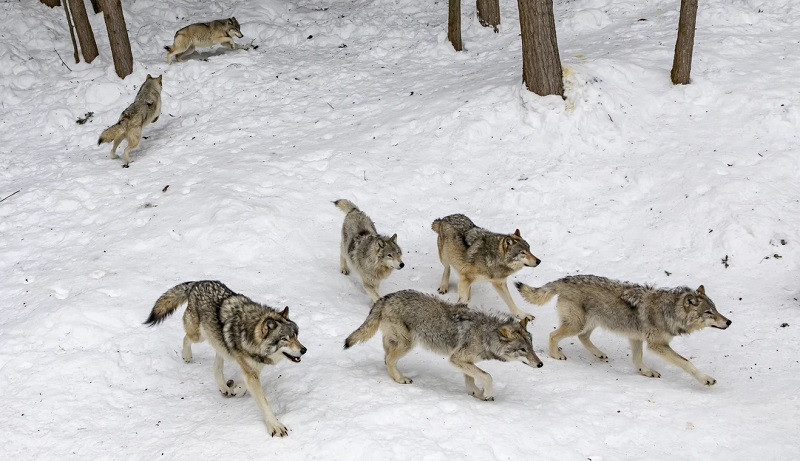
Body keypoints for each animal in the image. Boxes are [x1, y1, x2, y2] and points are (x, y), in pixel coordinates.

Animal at [144, 281, 306, 437]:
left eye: (296, 336)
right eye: (285, 339)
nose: (304, 350)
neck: (250, 335)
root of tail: (197, 283)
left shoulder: (252, 368)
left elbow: (245, 384)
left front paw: (237, 389)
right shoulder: (250, 371)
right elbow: (264, 402)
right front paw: (275, 426)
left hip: (219, 343)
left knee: (217, 365)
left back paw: (224, 387)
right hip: (199, 336)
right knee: (186, 338)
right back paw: (187, 356)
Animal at [344, 290, 542, 400]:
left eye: (532, 347)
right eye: (522, 350)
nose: (540, 364)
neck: (486, 335)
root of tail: (386, 297)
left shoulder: (464, 361)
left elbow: (472, 379)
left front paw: (476, 394)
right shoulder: (456, 359)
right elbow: (487, 376)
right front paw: (486, 393)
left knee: (386, 358)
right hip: (408, 344)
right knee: (389, 360)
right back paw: (400, 379)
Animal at [515, 275, 731, 386]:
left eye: (716, 309)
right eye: (709, 312)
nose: (729, 322)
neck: (669, 311)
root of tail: (564, 279)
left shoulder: (636, 338)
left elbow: (637, 360)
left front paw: (646, 372)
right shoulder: (657, 345)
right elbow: (687, 363)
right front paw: (706, 379)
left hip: (591, 323)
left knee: (583, 337)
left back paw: (599, 354)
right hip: (577, 324)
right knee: (553, 335)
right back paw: (556, 355)